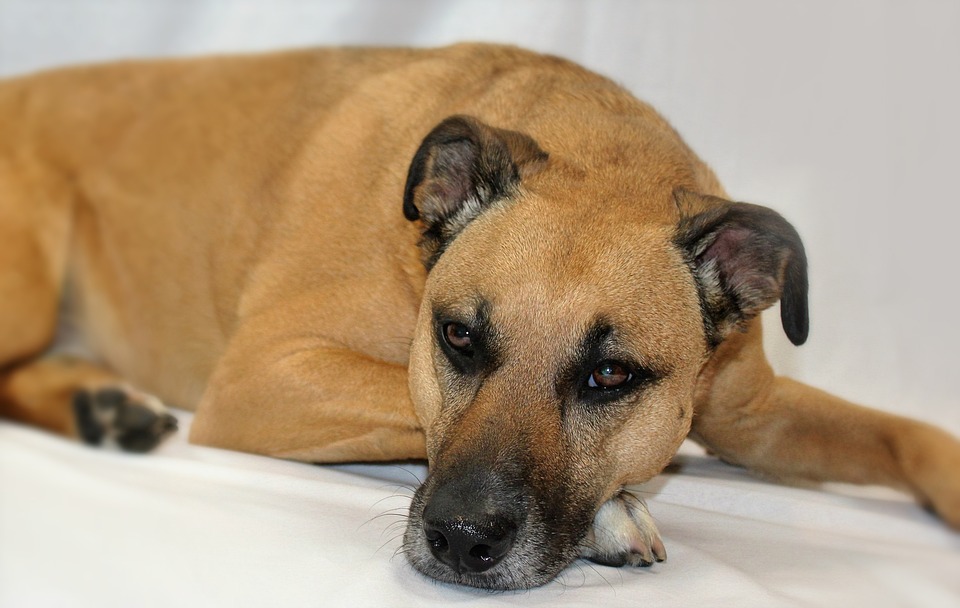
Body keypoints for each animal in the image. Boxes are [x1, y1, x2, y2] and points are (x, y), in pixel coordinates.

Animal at [0, 42, 956, 588]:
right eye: (458, 337)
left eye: (611, 374)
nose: (460, 544)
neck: (603, 155)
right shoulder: (263, 374)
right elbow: (406, 401)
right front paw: (614, 512)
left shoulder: (755, 413)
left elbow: (910, 435)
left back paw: (100, 406)